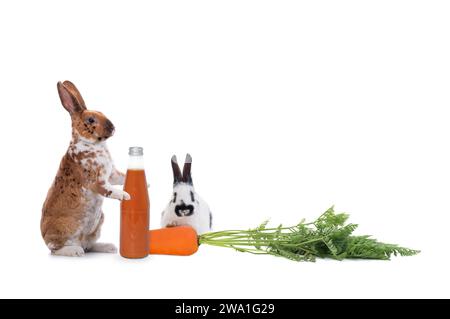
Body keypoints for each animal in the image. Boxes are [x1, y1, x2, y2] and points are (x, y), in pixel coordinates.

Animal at [40, 82, 129, 258]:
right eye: (91, 119)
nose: (113, 127)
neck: (92, 144)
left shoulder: (112, 175)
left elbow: (121, 177)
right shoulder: (98, 182)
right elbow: (109, 190)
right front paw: (125, 195)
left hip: (98, 223)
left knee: (89, 245)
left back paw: (109, 247)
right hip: (64, 229)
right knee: (55, 249)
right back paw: (75, 251)